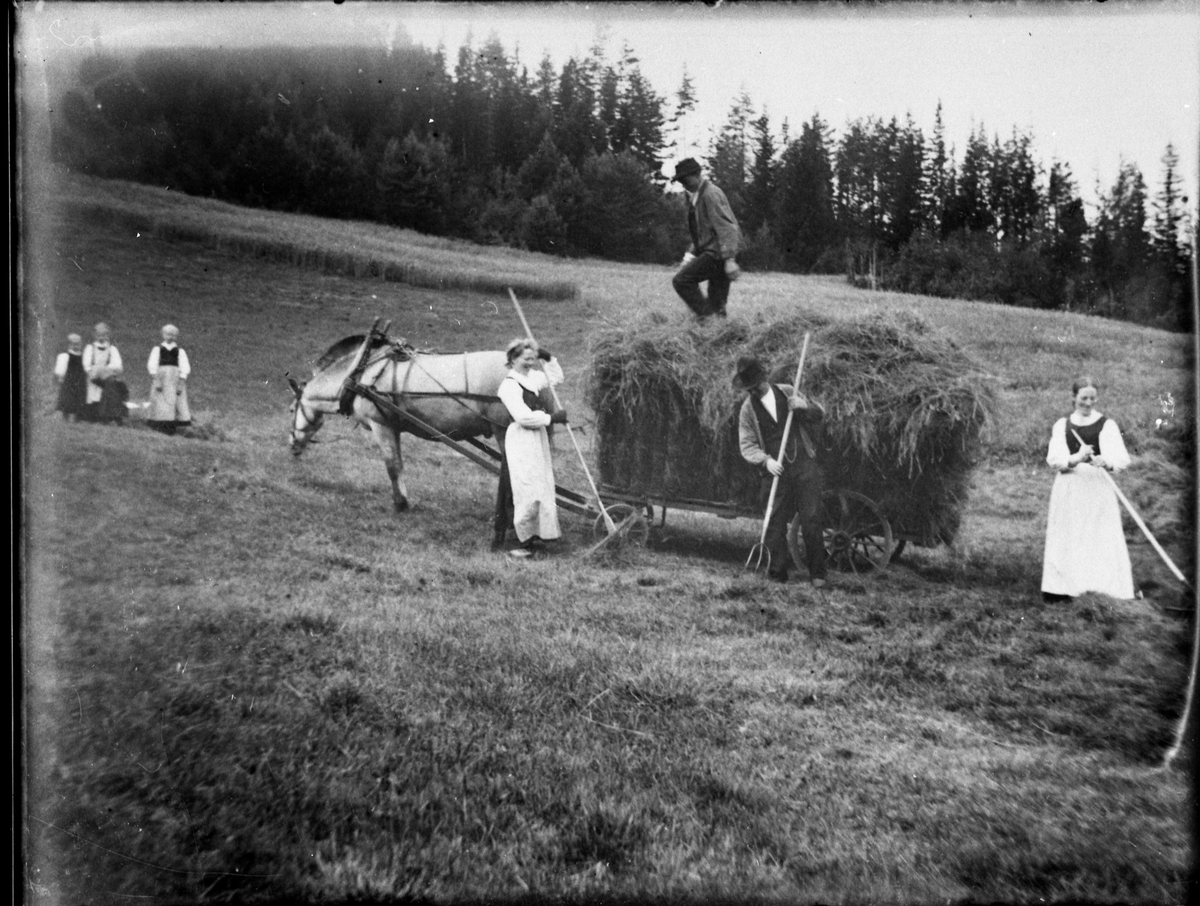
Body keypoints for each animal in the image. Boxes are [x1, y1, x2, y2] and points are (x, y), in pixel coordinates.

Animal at [294, 333, 516, 518]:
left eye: (290, 410)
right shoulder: (394, 426)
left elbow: (392, 467)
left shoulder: (381, 425)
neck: (362, 372)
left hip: (503, 432)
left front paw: (400, 503)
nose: (293, 447)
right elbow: (399, 464)